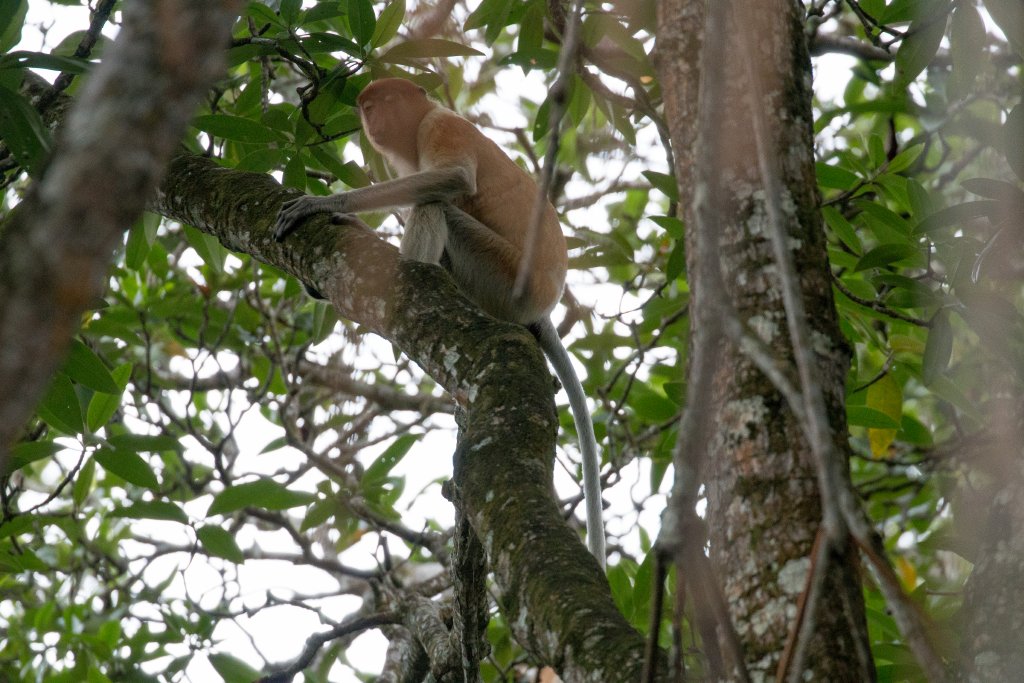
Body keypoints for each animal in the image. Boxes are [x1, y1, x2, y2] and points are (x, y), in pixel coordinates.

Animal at [274, 78, 606, 568]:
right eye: (367, 106)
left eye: (387, 101)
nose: (374, 119)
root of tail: (543, 305)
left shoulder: (440, 126)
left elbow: (453, 180)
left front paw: (325, 202)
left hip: (504, 276)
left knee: (436, 206)